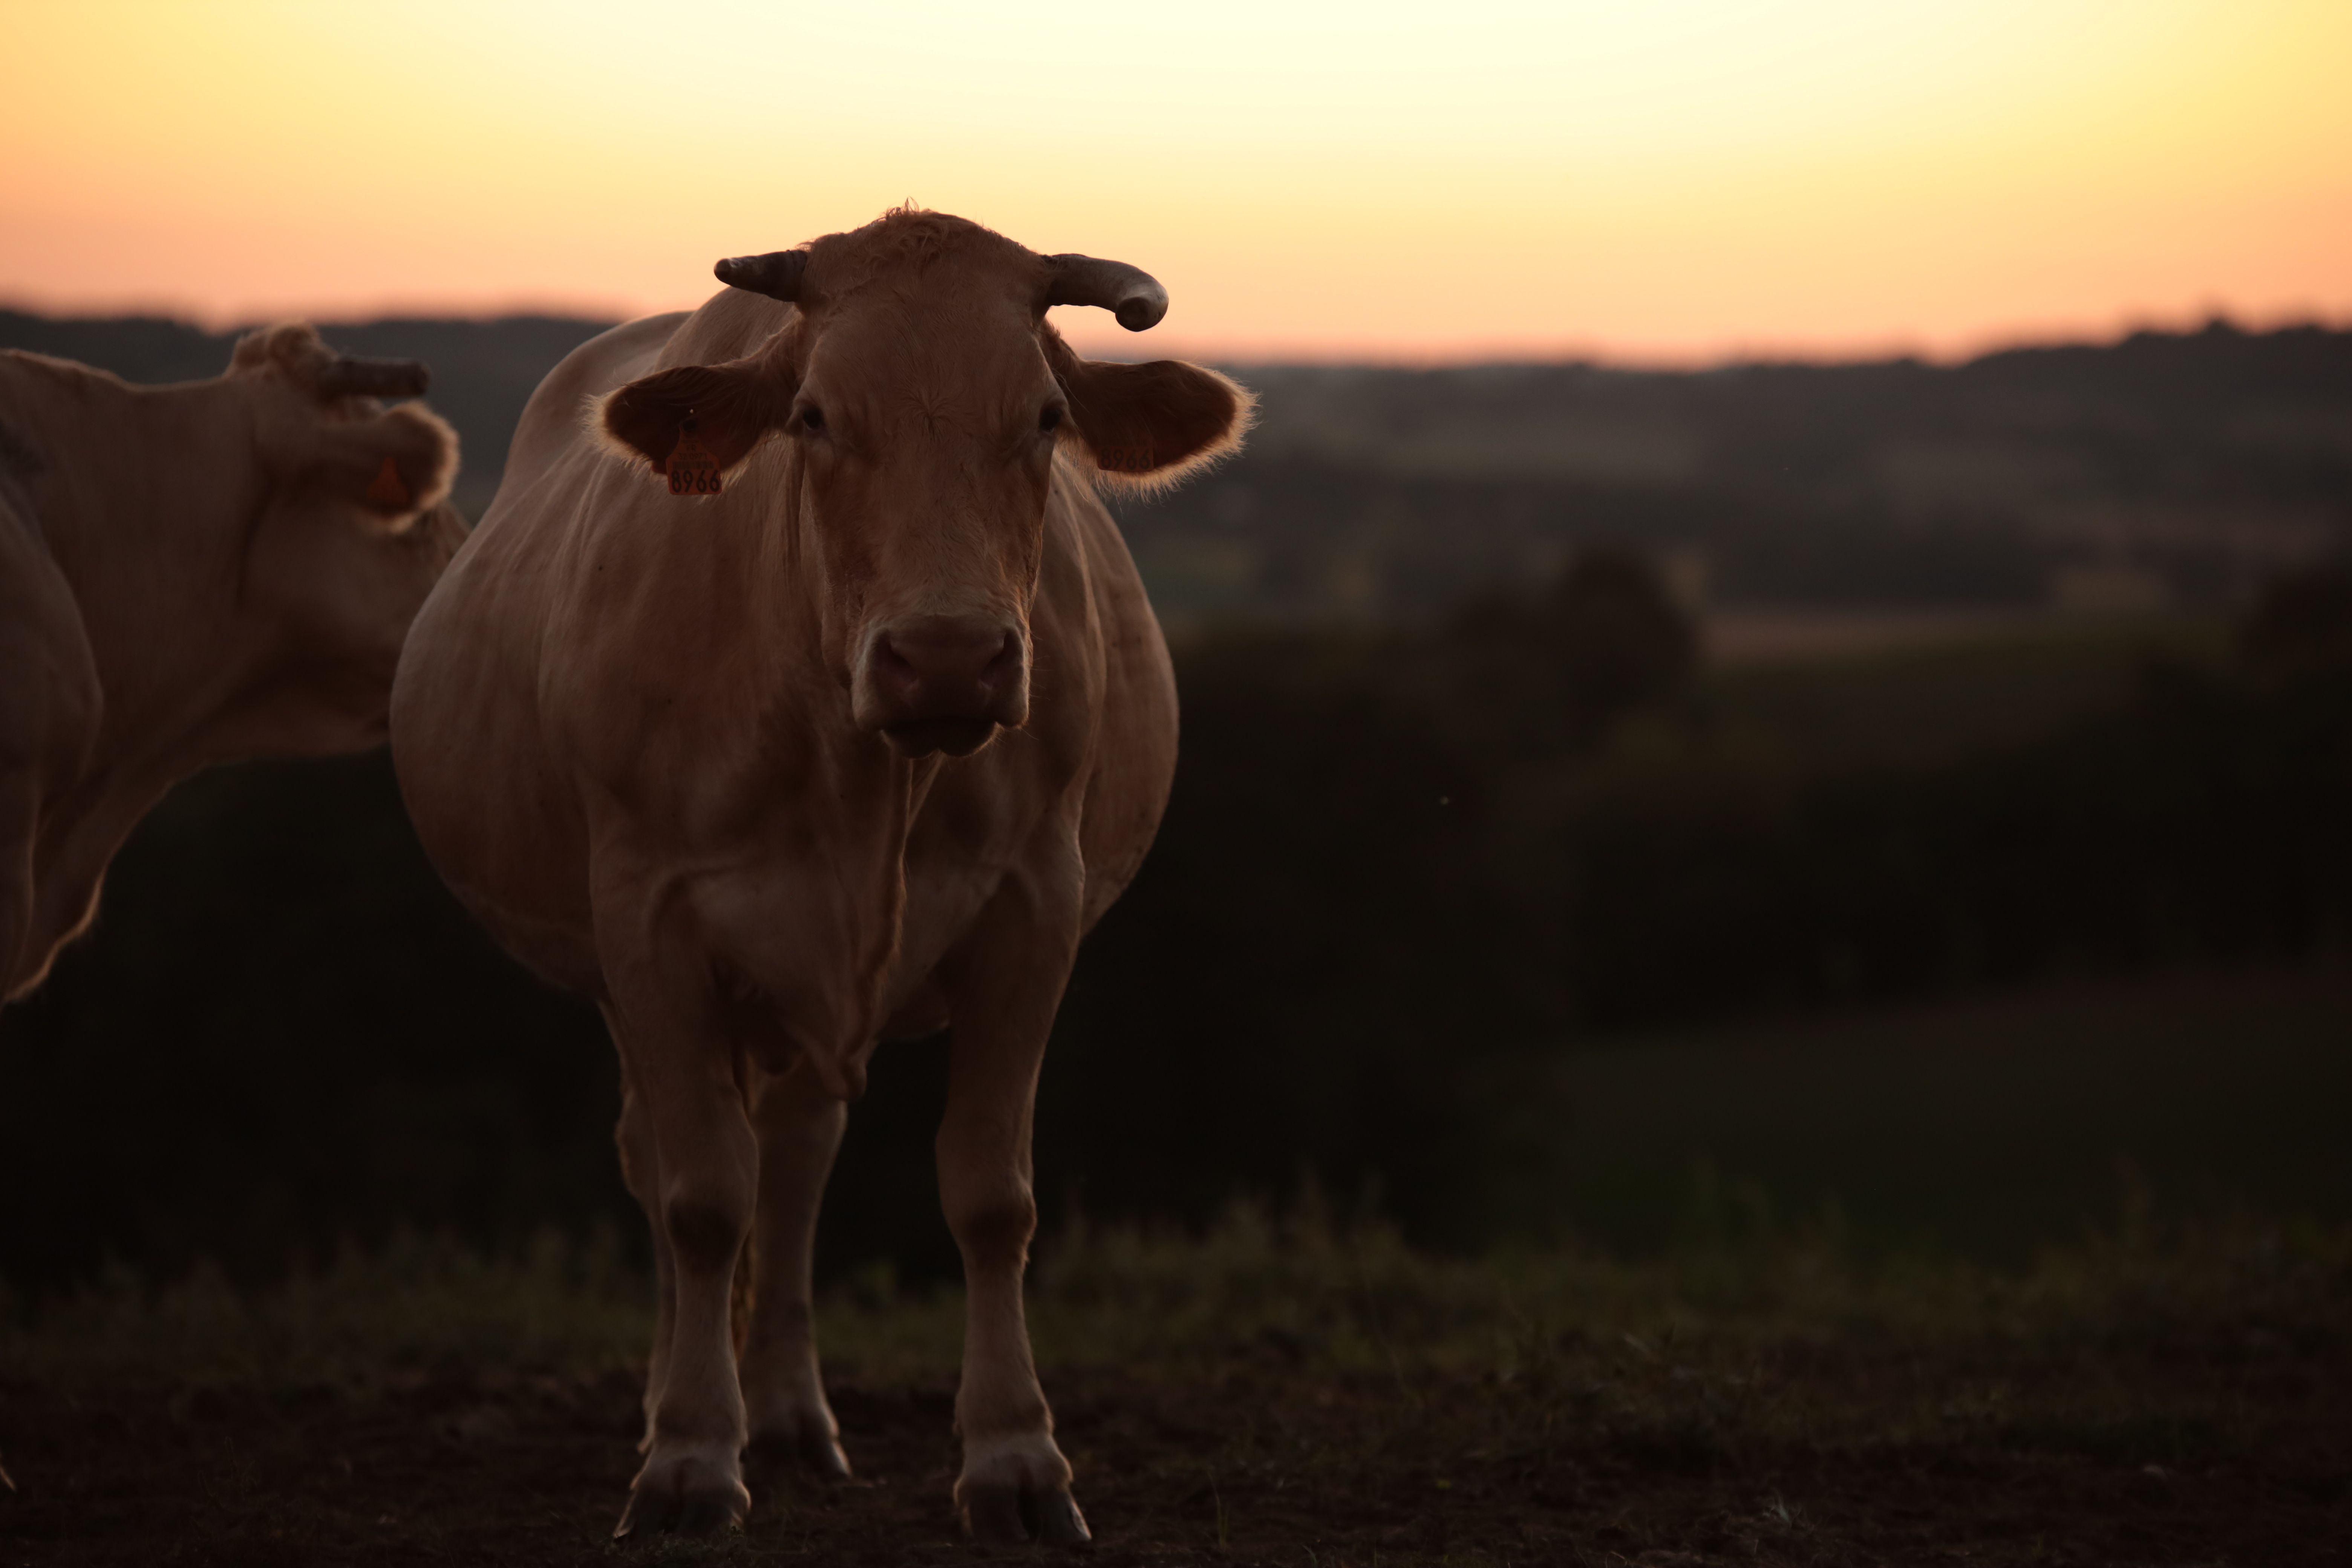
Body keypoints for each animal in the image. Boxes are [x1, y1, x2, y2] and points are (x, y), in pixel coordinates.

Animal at [388, 207, 1250, 1541]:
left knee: (794, 1158)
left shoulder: (1032, 913)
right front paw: (689, 1457)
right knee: (667, 1162)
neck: (861, 775)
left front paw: (1016, 1458)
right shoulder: (650, 925)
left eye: (1045, 415)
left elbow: (990, 1194)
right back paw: (679, 1403)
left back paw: (790, 1416)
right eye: (814, 416)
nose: (946, 658)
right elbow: (699, 1197)